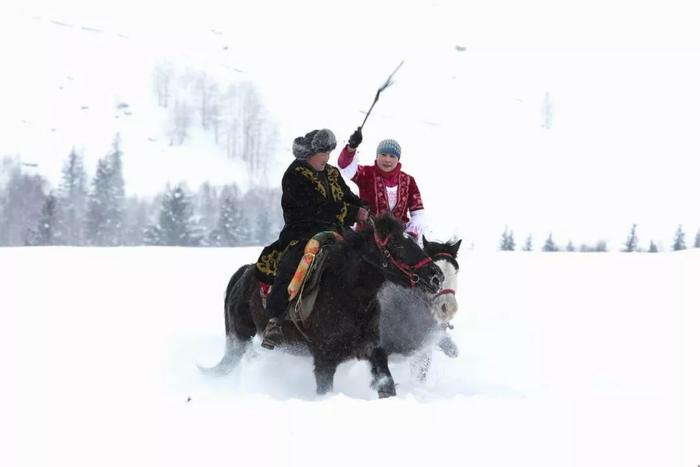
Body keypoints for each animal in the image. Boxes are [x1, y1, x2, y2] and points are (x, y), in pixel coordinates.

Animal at [202, 216, 442, 398]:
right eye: (397, 245)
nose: (436, 276)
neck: (347, 294)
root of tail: (244, 273)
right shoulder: (324, 360)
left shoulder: (372, 349)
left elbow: (387, 385)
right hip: (240, 336)